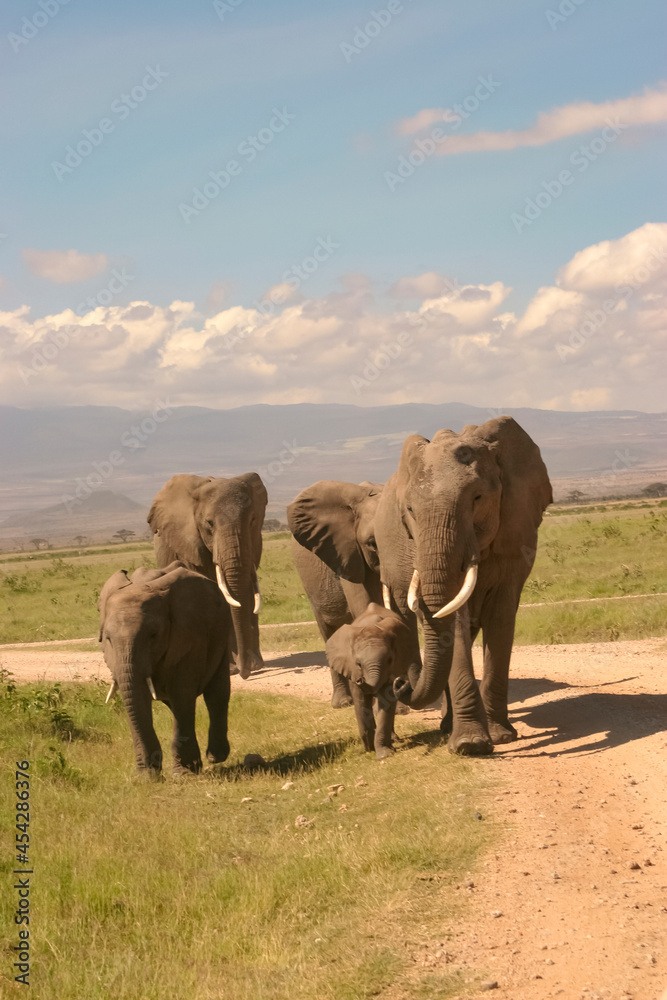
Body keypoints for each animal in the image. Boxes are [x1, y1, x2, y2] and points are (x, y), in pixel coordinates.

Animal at [98, 564, 235, 772]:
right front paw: (147, 773)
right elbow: (139, 697)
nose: (154, 763)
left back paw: (215, 757)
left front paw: (185, 772)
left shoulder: (189, 637)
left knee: (216, 694)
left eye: (153, 635)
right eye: (108, 639)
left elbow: (182, 694)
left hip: (222, 633)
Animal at [147, 470, 268, 680]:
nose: (245, 673)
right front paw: (230, 669)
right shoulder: (188, 544)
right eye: (209, 524)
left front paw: (248, 666)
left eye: (253, 520)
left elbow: (244, 594)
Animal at [324, 600, 418, 756]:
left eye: (389, 660)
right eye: (358, 664)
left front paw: (384, 754)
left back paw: (393, 739)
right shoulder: (351, 669)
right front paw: (370, 748)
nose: (360, 679)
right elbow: (360, 701)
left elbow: (385, 702)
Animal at [376, 414, 552, 752]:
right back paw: (449, 730)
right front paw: (471, 746)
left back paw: (449, 727)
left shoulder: (515, 530)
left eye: (477, 498)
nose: (400, 683)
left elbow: (500, 617)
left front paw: (499, 737)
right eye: (410, 510)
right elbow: (454, 619)